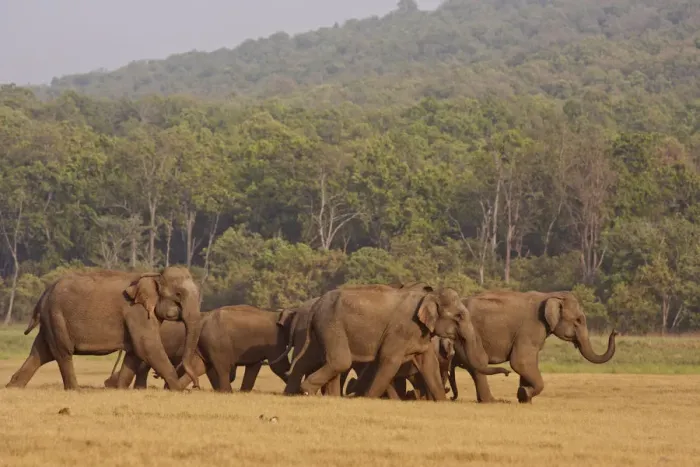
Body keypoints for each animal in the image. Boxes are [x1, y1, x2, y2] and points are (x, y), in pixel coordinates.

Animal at [6, 266, 202, 391]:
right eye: (178, 294)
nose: (195, 385)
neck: (154, 275)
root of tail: (44, 293)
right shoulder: (136, 312)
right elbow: (147, 347)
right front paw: (178, 390)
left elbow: (135, 351)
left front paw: (120, 389)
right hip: (56, 317)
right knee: (62, 353)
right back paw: (75, 390)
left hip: (50, 320)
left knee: (40, 352)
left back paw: (13, 386)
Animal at [284, 284, 510, 399]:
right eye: (460, 316)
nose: (507, 373)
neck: (428, 296)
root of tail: (316, 304)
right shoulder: (401, 330)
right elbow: (389, 360)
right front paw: (368, 399)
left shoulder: (421, 334)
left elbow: (429, 365)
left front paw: (441, 401)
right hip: (332, 324)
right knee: (340, 361)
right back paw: (307, 391)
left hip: (321, 329)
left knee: (309, 360)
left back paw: (300, 394)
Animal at [449, 290, 617, 403]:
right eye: (578, 320)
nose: (614, 332)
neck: (549, 295)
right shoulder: (531, 327)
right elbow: (520, 362)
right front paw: (525, 393)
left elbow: (527, 363)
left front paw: (524, 398)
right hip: (467, 337)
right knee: (479, 364)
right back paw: (491, 401)